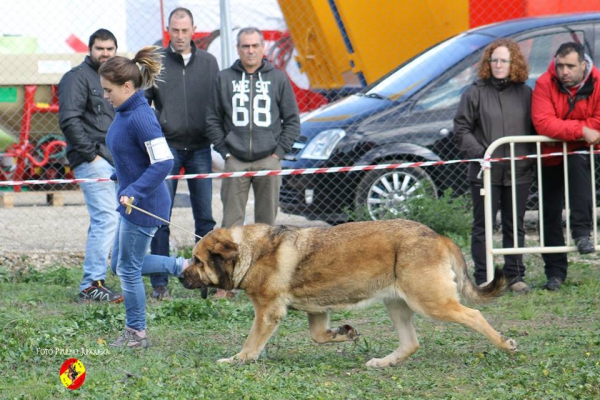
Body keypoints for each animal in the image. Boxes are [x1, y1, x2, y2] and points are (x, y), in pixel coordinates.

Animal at [180, 220, 516, 368]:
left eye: (197, 261)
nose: (180, 276)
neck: (251, 252)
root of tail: (439, 237)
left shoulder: (267, 313)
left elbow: (251, 344)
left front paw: (237, 359)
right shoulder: (317, 311)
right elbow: (319, 336)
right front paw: (344, 333)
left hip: (431, 303)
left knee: (475, 315)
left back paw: (504, 343)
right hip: (397, 305)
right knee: (411, 343)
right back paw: (383, 362)